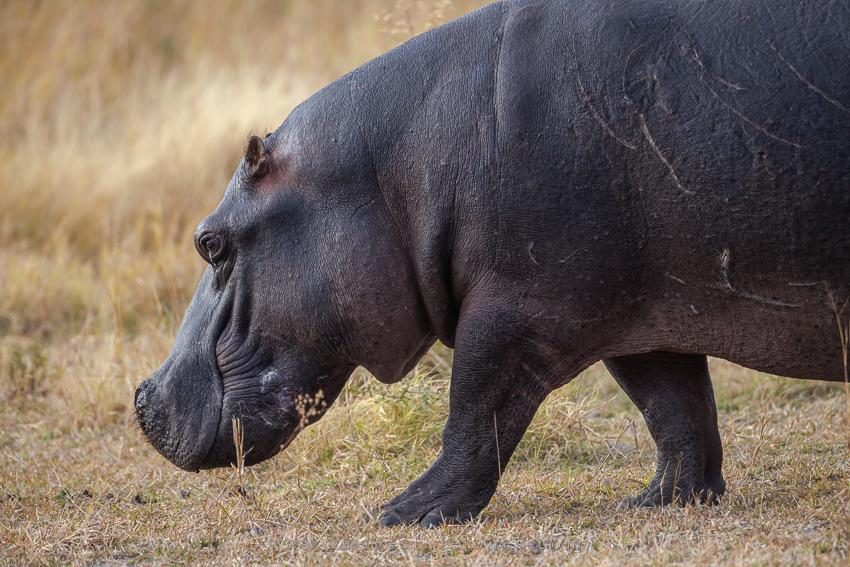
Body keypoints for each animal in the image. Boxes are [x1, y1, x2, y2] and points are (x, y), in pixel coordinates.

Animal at [135, 0, 850, 527]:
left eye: (210, 243)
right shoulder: (642, 313)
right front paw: (657, 502)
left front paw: (398, 513)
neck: (394, 171)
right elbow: (674, 408)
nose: (143, 398)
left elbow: (476, 411)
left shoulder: (519, 312)